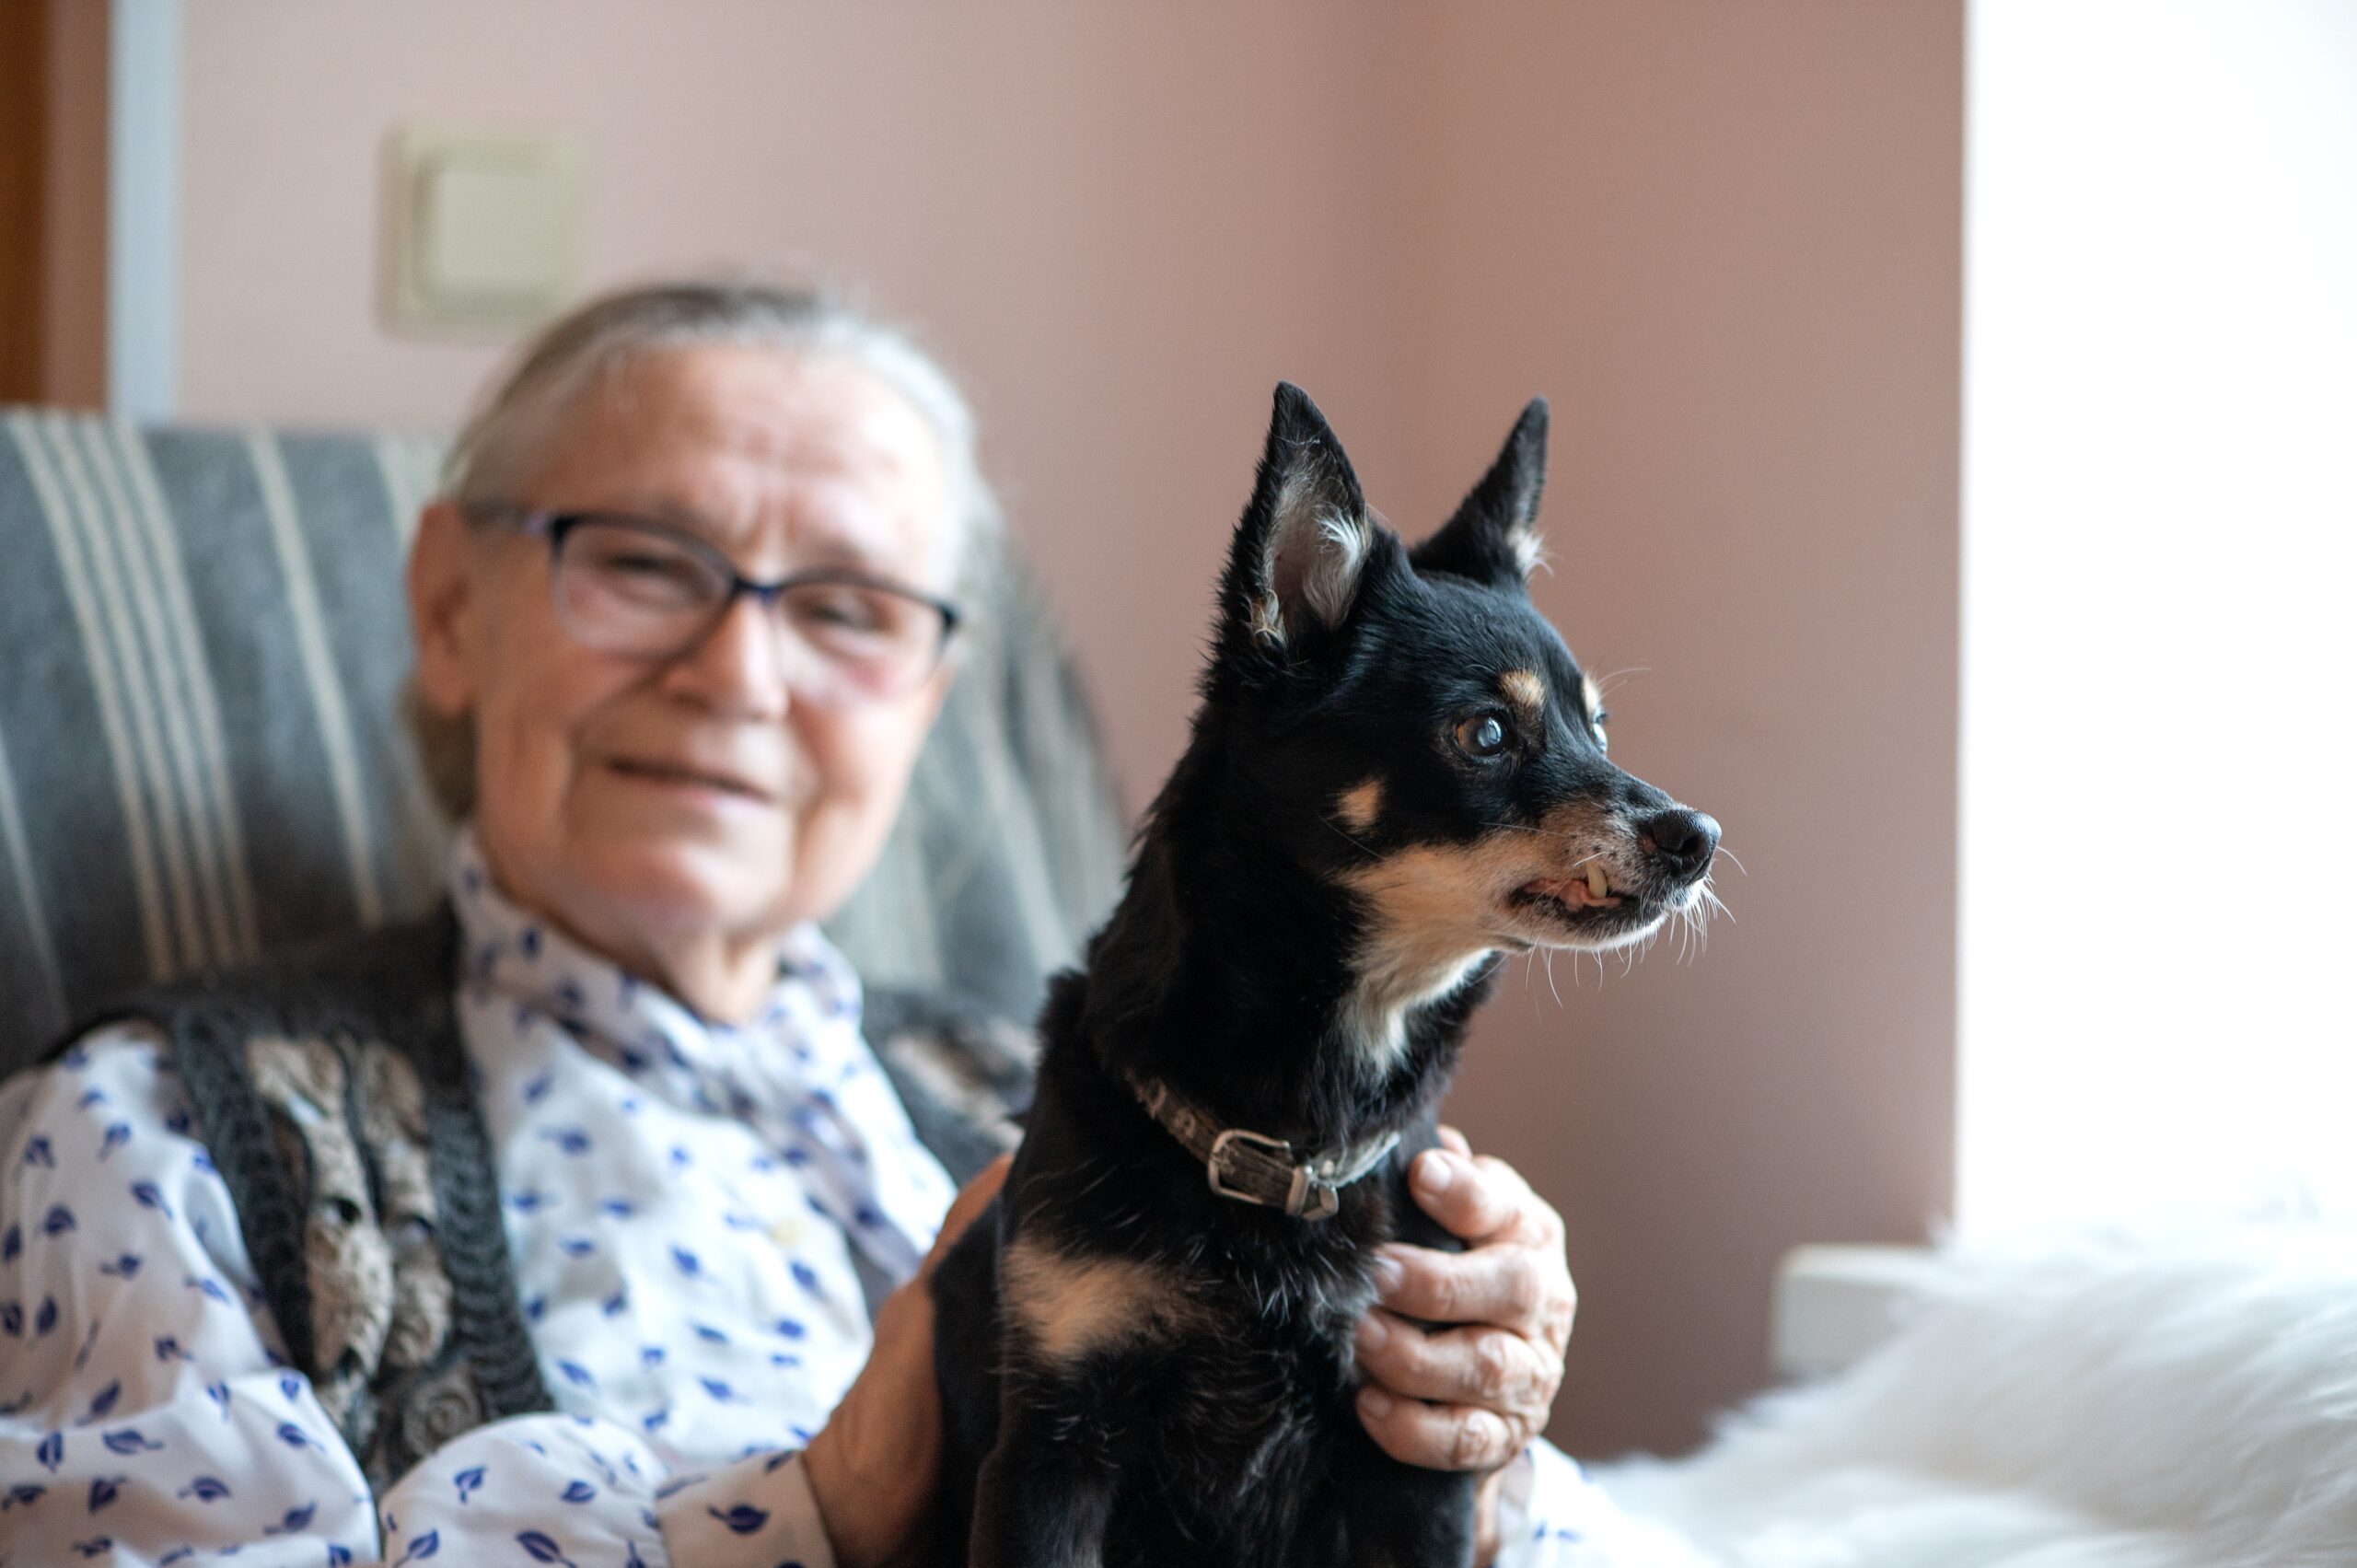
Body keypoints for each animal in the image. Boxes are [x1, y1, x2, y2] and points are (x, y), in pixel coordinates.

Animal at [928, 381, 1724, 1565]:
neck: (1296, 1129)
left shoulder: (1415, 1456)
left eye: (1596, 725)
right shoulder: (1048, 1452)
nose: (1698, 837)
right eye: (1486, 731)